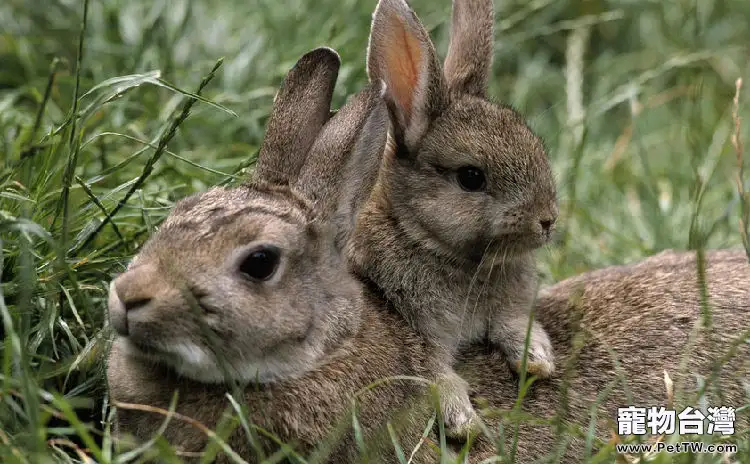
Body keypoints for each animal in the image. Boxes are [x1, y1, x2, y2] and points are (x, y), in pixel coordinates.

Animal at [348, 0, 560, 438]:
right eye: (471, 177)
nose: (547, 220)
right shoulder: (414, 328)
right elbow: (433, 371)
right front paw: (463, 422)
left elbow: (513, 323)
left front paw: (537, 359)